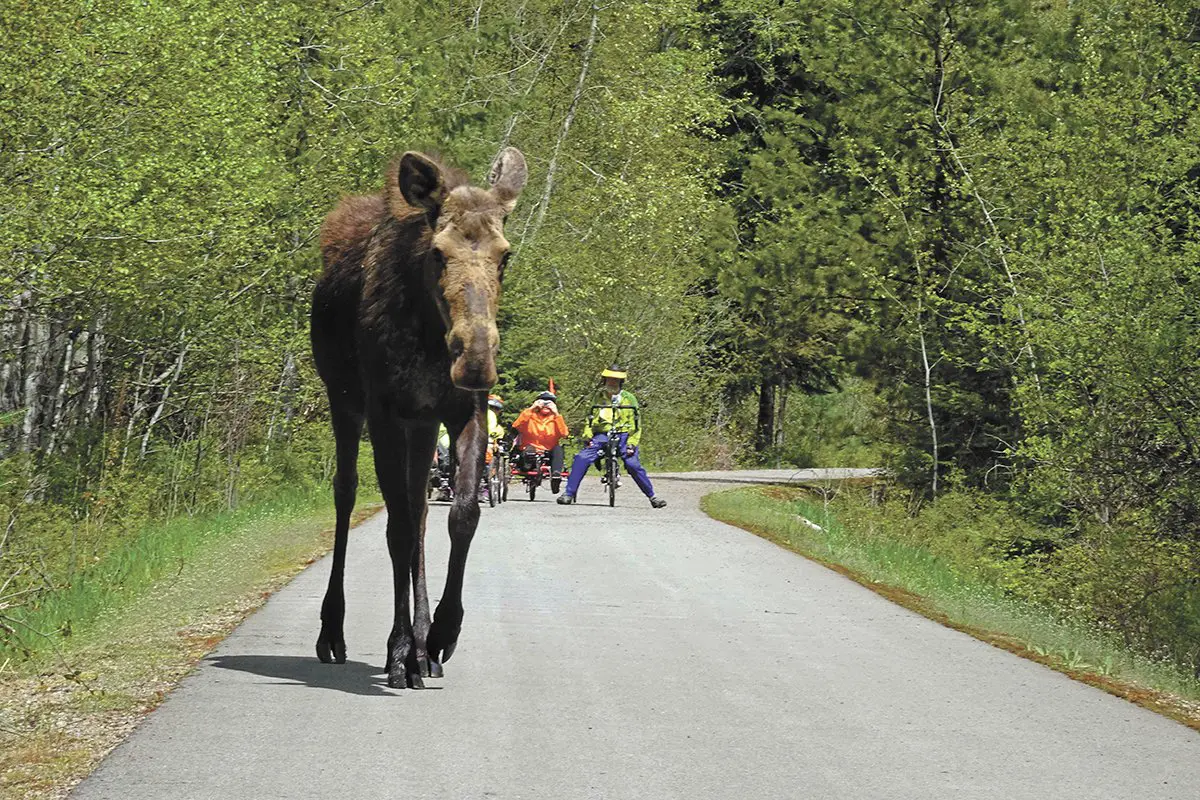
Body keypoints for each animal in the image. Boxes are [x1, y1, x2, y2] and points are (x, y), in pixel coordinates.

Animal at [312, 145, 528, 690]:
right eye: (437, 253)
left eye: (505, 255)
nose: (475, 360)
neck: (431, 336)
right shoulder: (385, 414)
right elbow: (397, 531)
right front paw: (398, 650)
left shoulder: (463, 411)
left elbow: (461, 514)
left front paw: (442, 633)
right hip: (344, 402)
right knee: (347, 495)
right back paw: (333, 631)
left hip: (422, 425)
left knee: (421, 511)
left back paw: (425, 642)